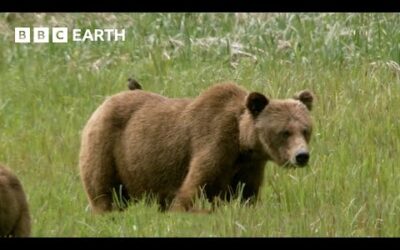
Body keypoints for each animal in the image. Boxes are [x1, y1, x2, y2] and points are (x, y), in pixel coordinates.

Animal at [79, 83, 314, 214]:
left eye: (305, 129)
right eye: (284, 132)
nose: (301, 156)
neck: (242, 144)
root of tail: (103, 103)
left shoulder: (250, 166)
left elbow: (247, 195)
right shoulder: (213, 144)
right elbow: (192, 189)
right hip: (106, 148)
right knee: (102, 191)